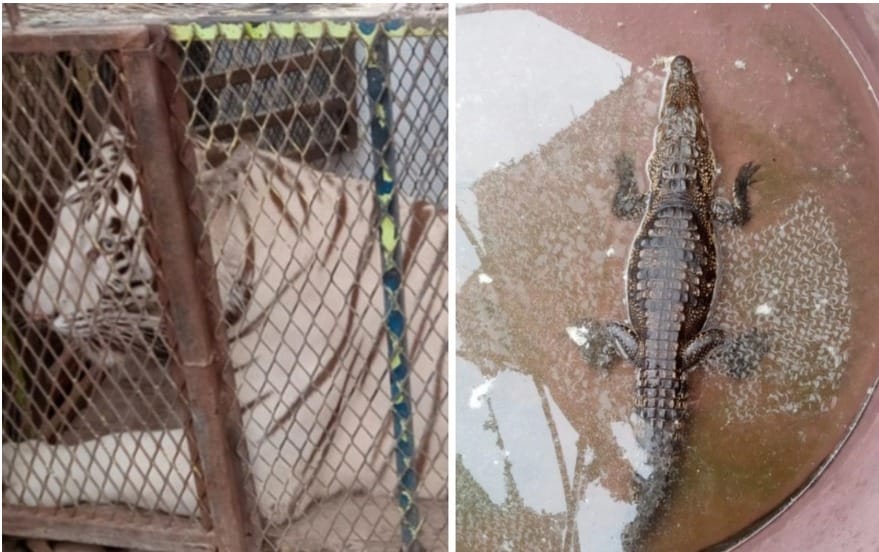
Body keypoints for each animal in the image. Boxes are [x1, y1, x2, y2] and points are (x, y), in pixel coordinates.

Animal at [2, 124, 448, 526]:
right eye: (58, 219)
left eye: (106, 247)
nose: (31, 309)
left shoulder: (263, 467)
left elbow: (123, 453)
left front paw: (21, 469)